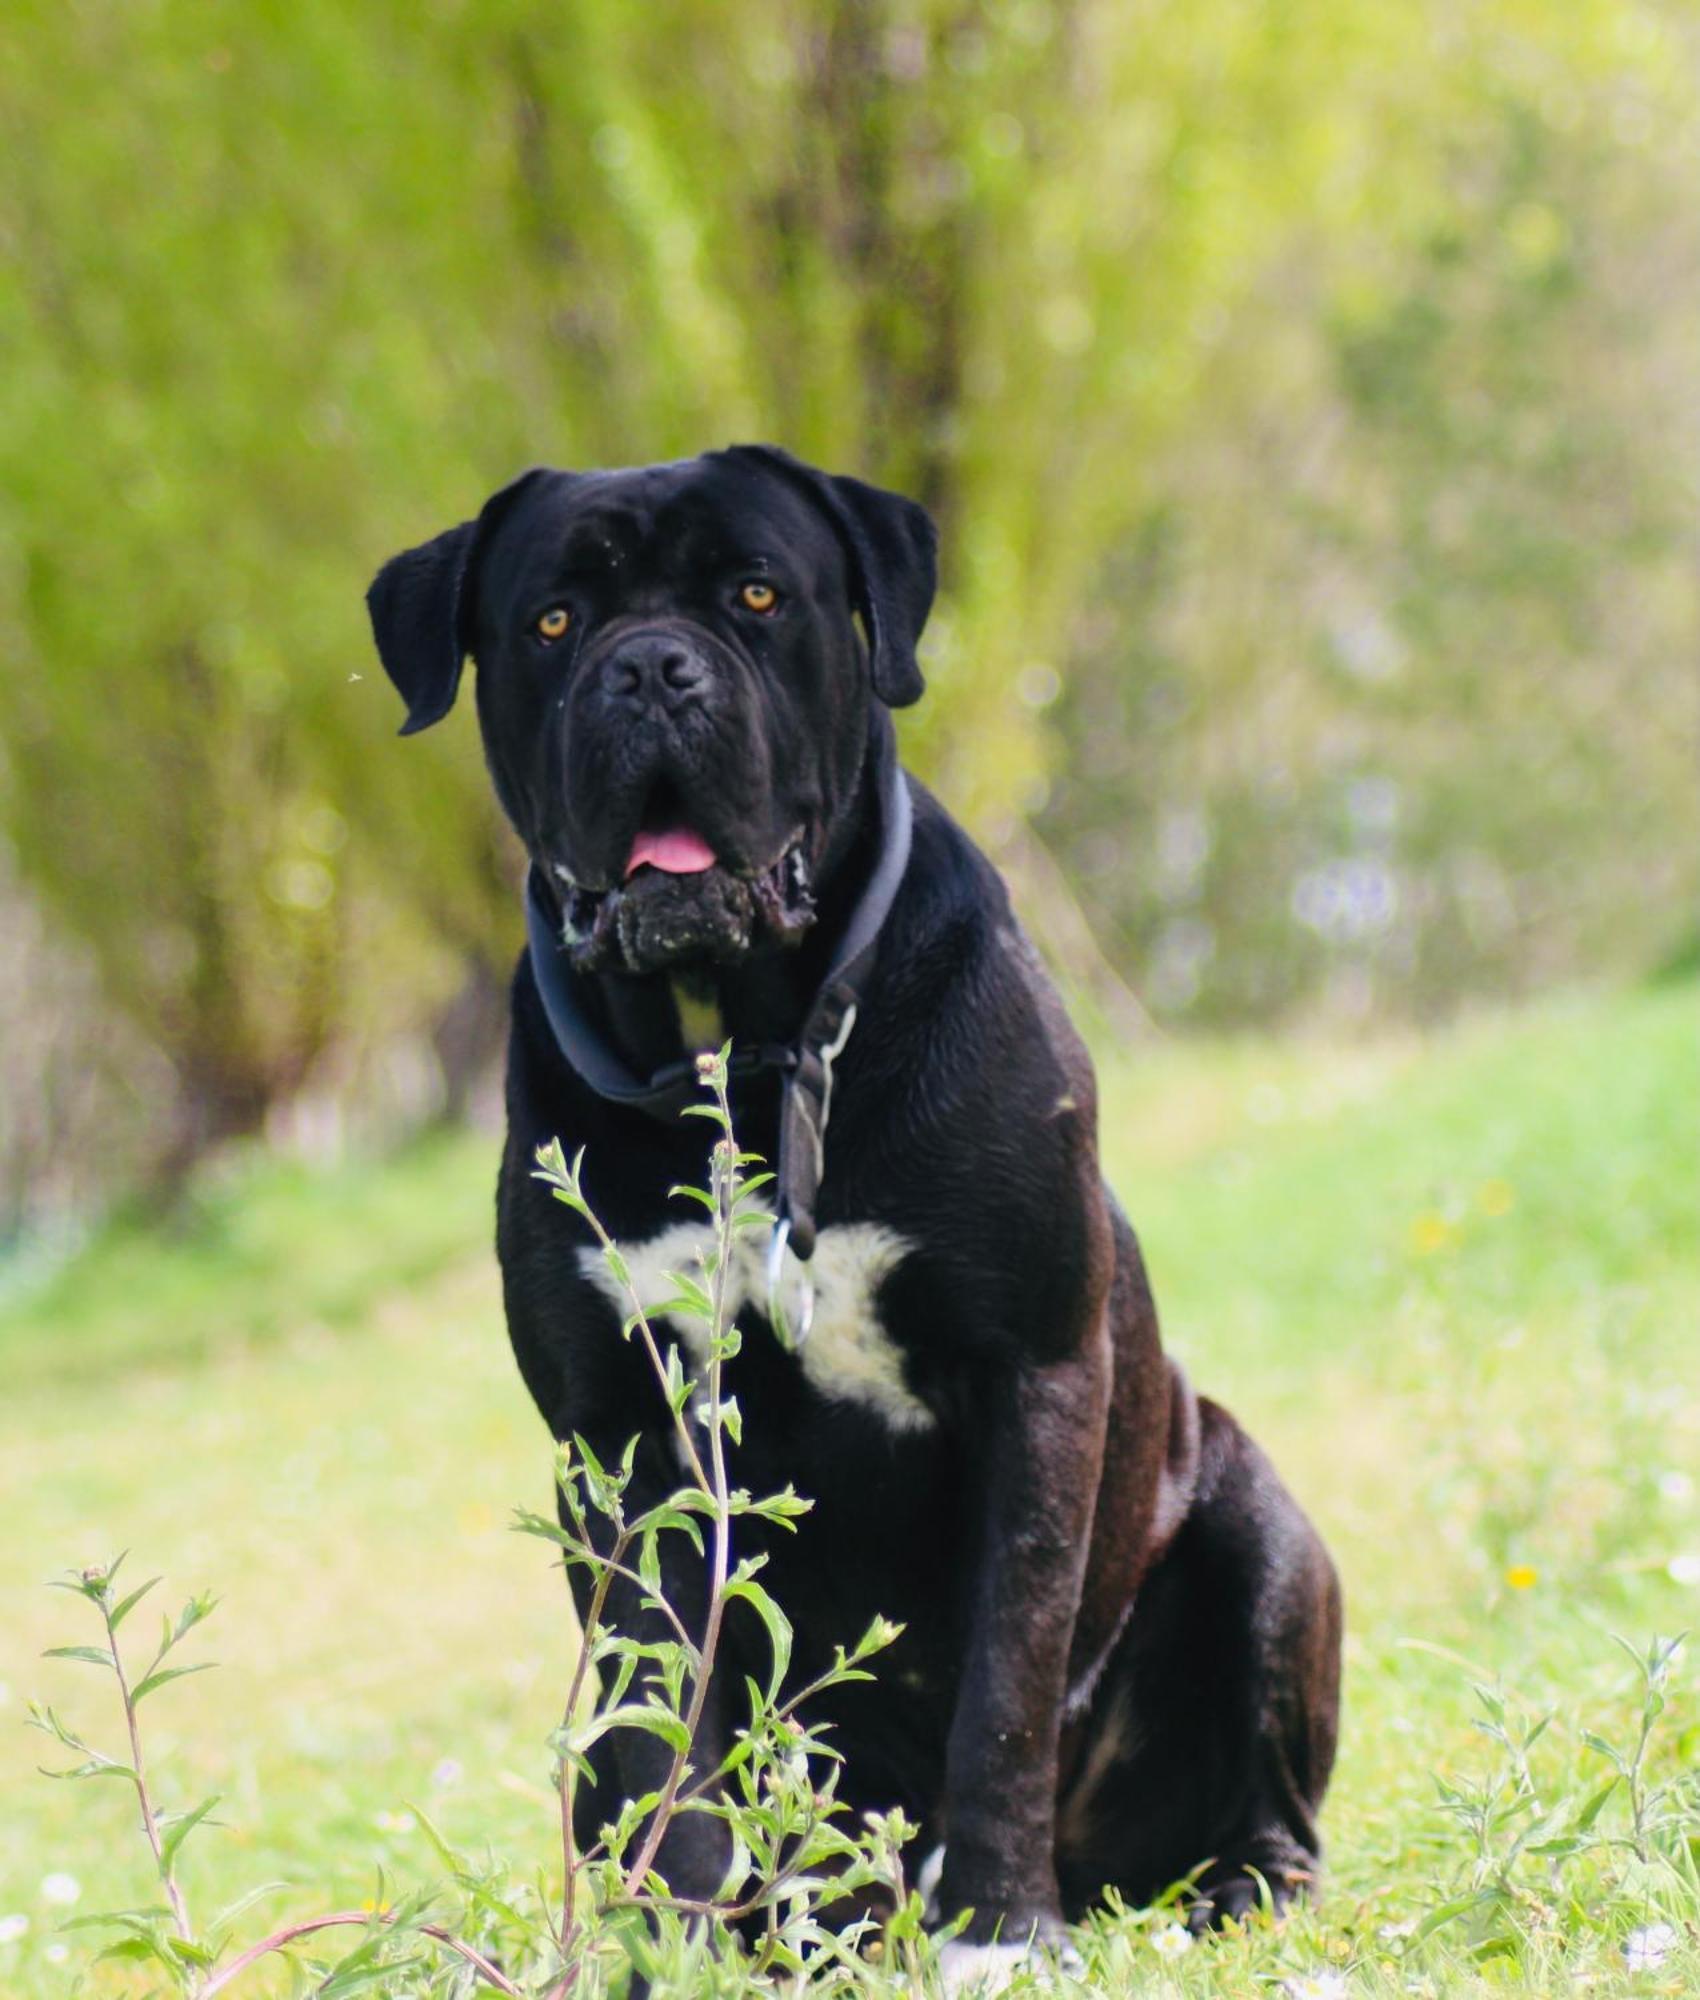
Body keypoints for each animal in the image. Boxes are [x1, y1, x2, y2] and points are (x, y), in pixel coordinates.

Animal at [368, 450, 1336, 1984]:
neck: (745, 1051)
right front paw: (679, 1948)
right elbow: (665, 1718)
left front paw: (998, 1930)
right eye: (553, 621)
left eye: (758, 595)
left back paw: (1224, 1887)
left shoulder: (1032, 1370)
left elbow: (1007, 1675)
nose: (650, 667)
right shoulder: (619, 1439)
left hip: (1262, 1531)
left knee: (1268, 1805)